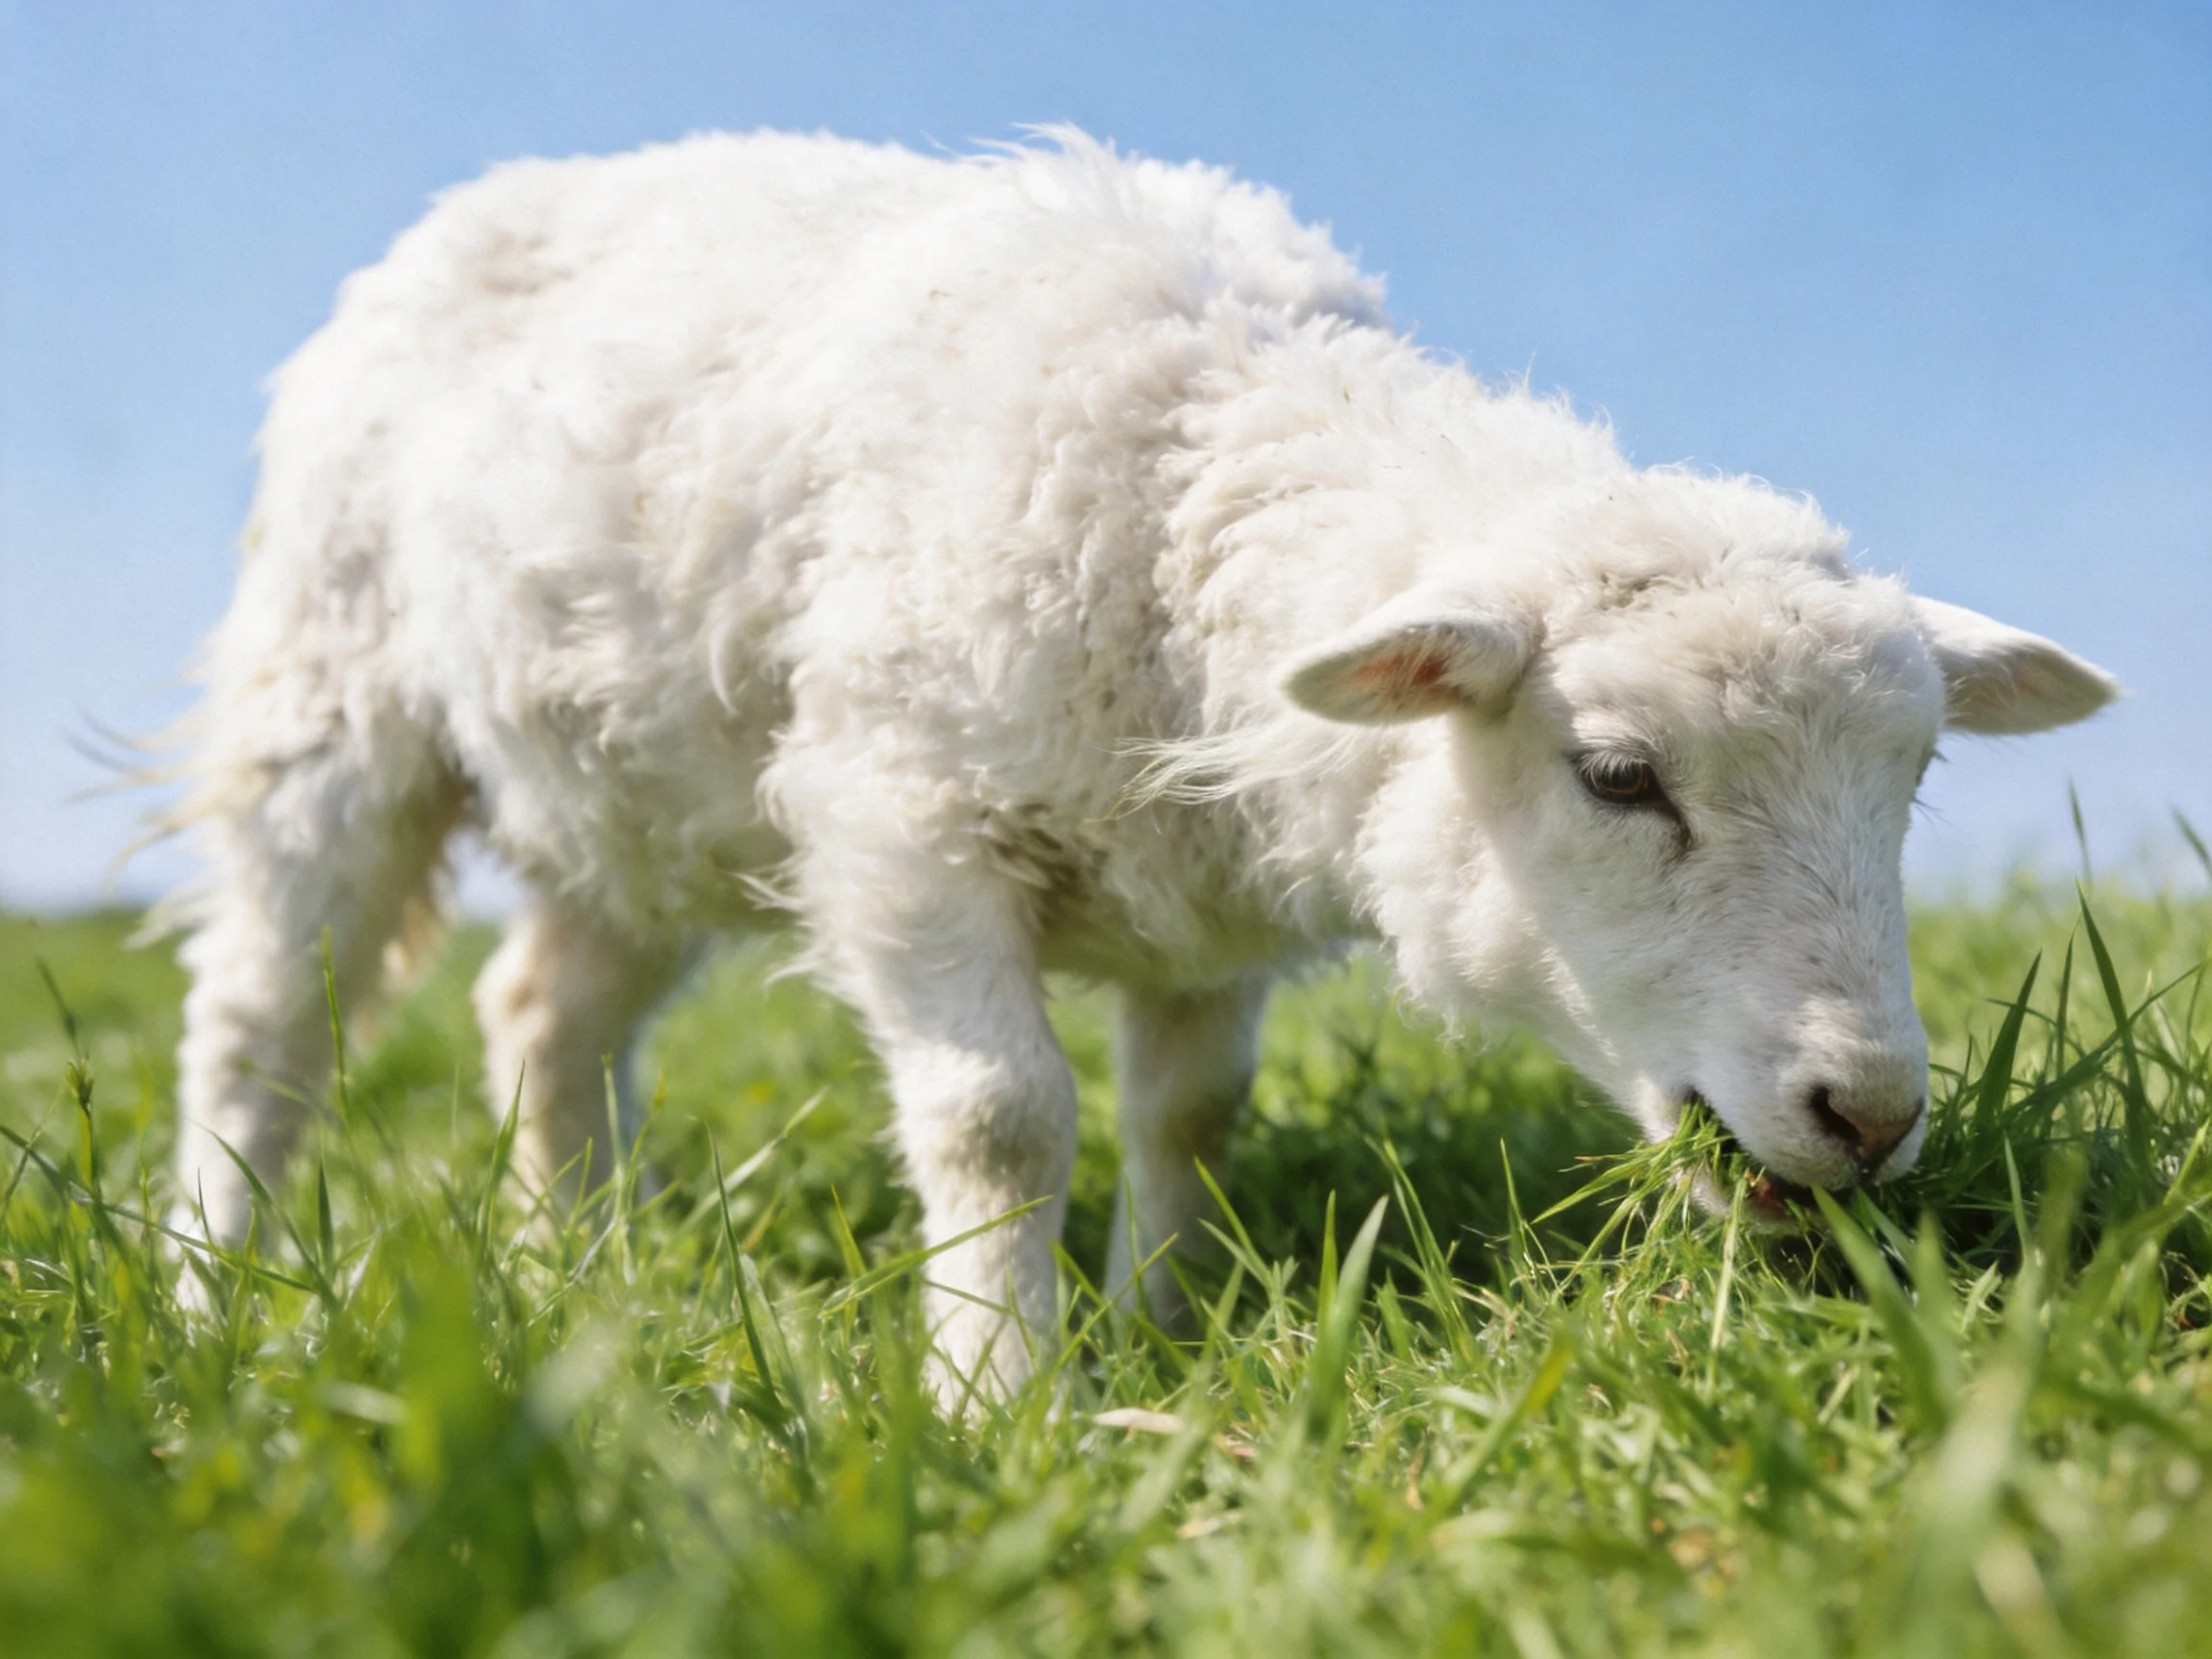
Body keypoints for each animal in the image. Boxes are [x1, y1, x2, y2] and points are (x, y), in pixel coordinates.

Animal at [166, 129, 2117, 1398]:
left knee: (541, 1010)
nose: (1868, 1114)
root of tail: (489, 196)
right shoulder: (900, 815)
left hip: (640, 781)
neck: (1196, 468)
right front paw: (1000, 1394)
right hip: (330, 691)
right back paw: (209, 1286)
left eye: (1911, 783)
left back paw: (571, 1265)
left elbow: (1193, 1112)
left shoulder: (1208, 889)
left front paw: (1170, 1331)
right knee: (262, 1018)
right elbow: (1001, 1116)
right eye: (1619, 776)